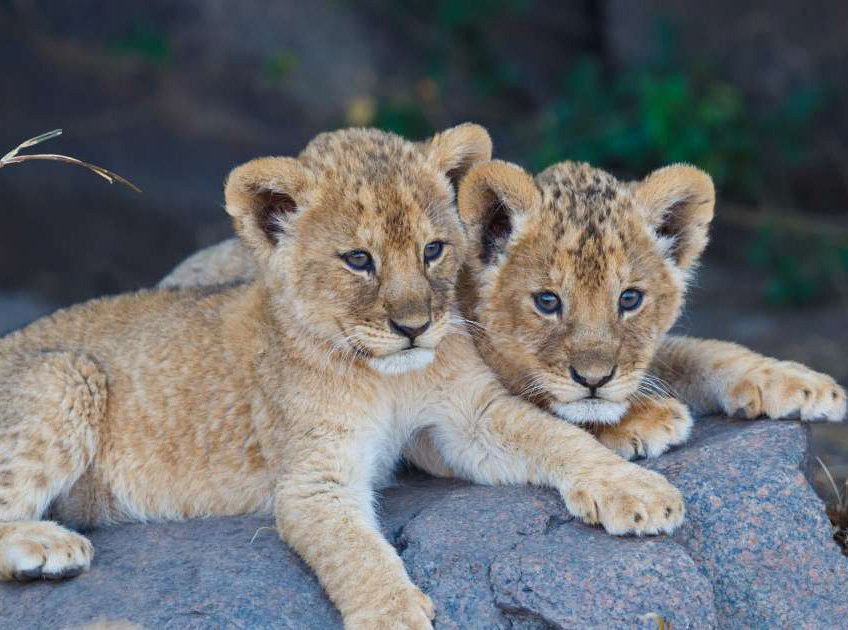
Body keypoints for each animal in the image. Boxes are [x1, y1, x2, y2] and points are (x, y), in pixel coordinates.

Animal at [0, 125, 686, 629]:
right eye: (359, 260)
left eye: (433, 250)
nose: (414, 326)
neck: (388, 378)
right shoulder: (313, 479)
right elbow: (354, 550)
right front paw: (394, 614)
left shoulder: (461, 423)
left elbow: (556, 436)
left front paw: (634, 489)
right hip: (68, 373)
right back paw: (50, 547)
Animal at [163, 158, 846, 463]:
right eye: (548, 301)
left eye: (629, 299)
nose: (595, 379)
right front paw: (644, 421)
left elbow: (700, 353)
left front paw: (806, 385)